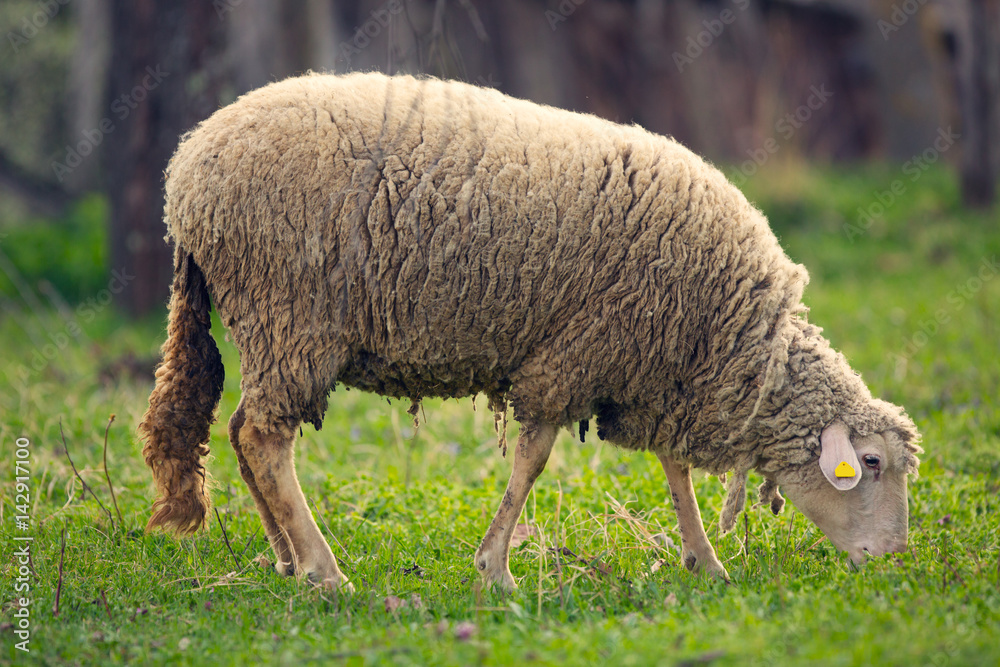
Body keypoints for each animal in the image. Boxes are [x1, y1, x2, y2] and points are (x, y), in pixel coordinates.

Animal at [139, 71, 922, 592]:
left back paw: (288, 558)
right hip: (290, 313)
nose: (893, 561)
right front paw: (497, 569)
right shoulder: (574, 355)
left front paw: (705, 560)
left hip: (270, 325)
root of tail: (186, 170)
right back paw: (327, 572)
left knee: (242, 432)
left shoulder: (653, 368)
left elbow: (673, 471)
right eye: (871, 464)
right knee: (266, 439)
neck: (729, 335)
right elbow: (534, 460)